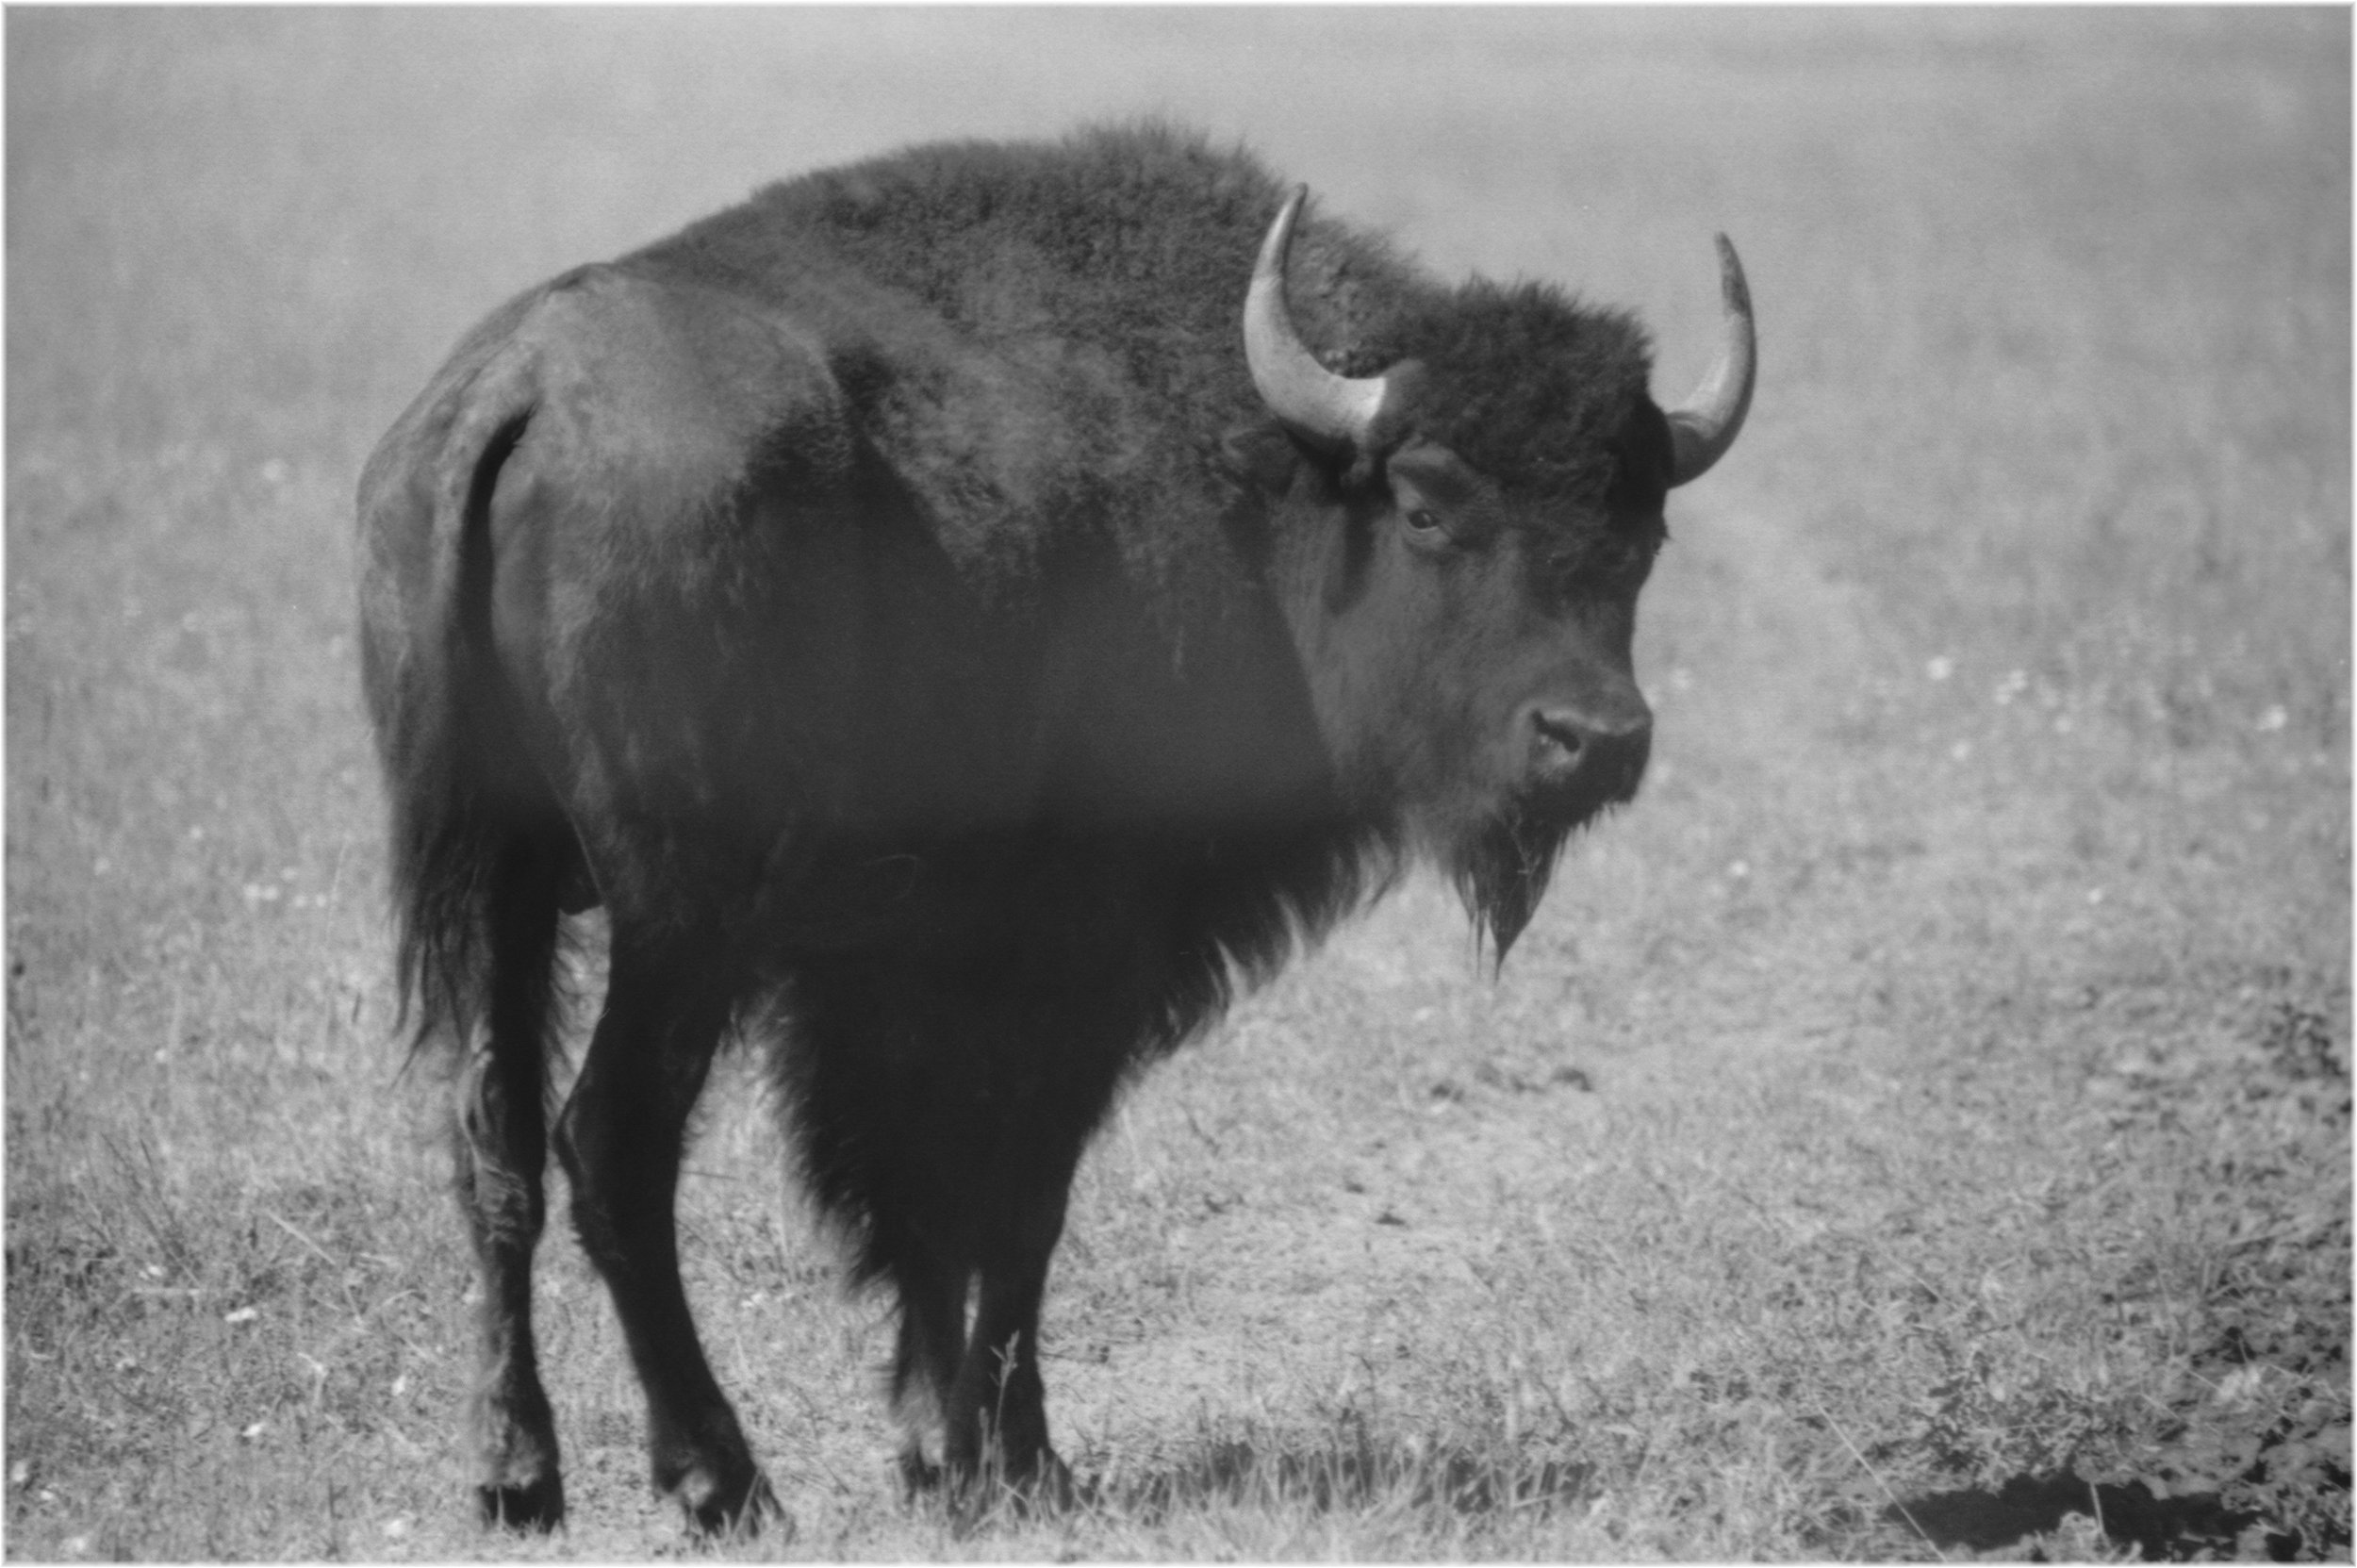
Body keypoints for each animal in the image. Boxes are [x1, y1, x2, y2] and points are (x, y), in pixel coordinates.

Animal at [357, 123, 1754, 1535]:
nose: (1594, 737)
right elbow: (1015, 1196)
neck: (1261, 480)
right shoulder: (1073, 956)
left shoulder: (892, 970)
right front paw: (1021, 1462)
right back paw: (722, 1478)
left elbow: (914, 1198)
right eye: (1423, 507)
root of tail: (519, 392)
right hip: (676, 918)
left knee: (493, 1137)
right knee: (612, 1143)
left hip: (497, 883)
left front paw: (937, 1447)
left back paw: (518, 1473)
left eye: (1642, 528)